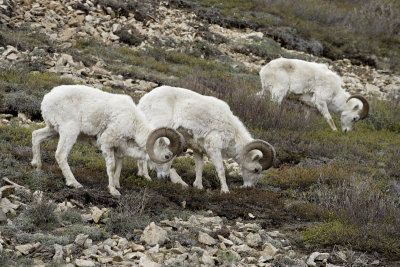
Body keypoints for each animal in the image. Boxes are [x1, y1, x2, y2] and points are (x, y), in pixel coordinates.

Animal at [30, 86, 184, 197]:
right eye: (167, 156)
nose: (165, 177)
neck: (133, 123)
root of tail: (47, 99)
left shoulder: (120, 150)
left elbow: (119, 167)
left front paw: (116, 185)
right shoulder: (107, 144)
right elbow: (111, 167)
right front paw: (113, 191)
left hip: (54, 130)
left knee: (36, 135)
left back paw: (37, 166)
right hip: (69, 131)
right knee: (60, 155)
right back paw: (74, 183)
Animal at [135, 86, 276, 193]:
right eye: (257, 169)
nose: (249, 187)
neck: (231, 131)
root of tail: (143, 101)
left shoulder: (198, 149)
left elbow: (199, 167)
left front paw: (198, 186)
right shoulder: (214, 149)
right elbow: (220, 170)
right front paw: (225, 191)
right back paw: (146, 177)